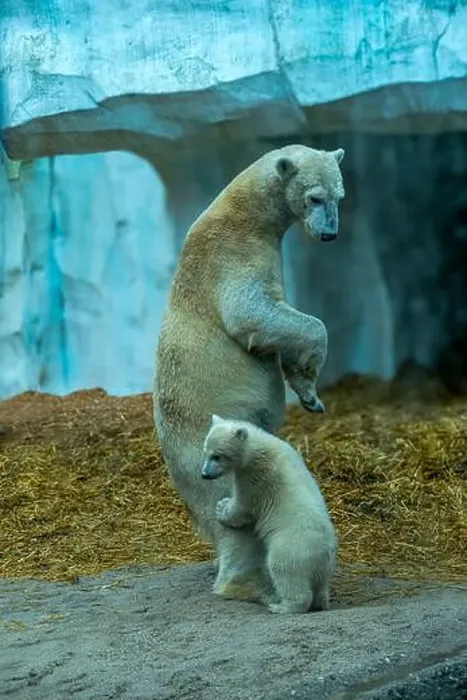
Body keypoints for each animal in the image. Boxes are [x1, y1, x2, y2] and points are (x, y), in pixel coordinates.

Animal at [201, 415, 338, 614]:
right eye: (205, 451)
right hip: (325, 565)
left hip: (292, 548)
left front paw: (222, 507)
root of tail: (322, 553)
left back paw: (282, 606)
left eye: (217, 456)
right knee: (320, 584)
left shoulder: (256, 476)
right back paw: (320, 602)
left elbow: (245, 507)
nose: (204, 474)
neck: (258, 446)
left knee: (285, 572)